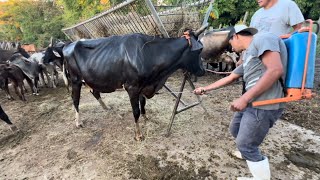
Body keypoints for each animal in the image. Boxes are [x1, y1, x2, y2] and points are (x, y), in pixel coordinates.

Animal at [61, 28, 206, 141]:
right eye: (199, 50)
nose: (203, 70)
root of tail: (68, 45)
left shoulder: (143, 85)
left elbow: (143, 103)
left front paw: (146, 117)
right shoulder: (132, 87)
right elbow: (135, 111)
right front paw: (138, 134)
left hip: (92, 79)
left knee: (94, 92)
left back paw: (107, 108)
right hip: (75, 80)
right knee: (75, 99)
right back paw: (78, 122)